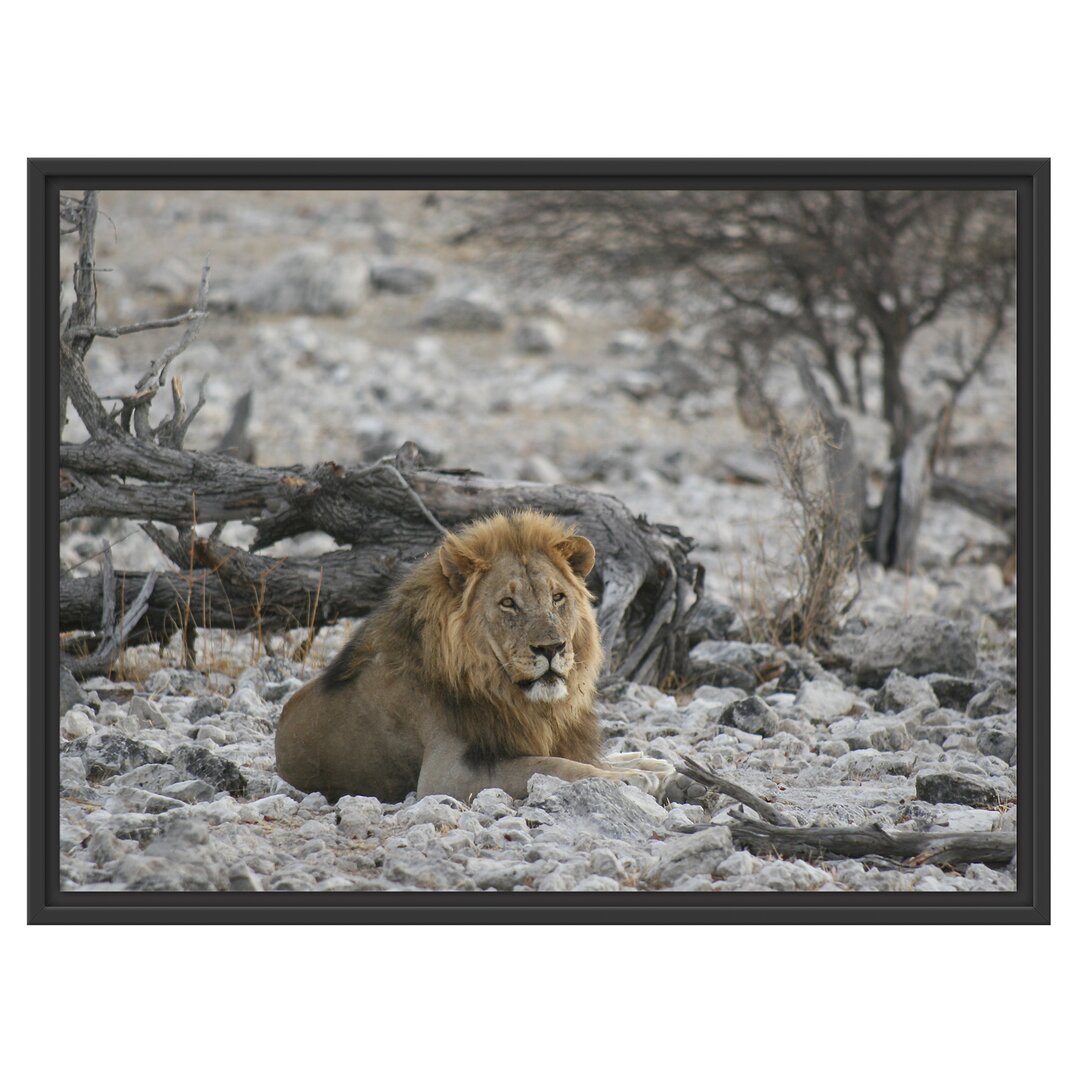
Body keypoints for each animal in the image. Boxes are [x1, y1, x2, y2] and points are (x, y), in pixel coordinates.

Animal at [274, 511, 669, 803]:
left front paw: (645, 768)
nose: (551, 648)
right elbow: (552, 765)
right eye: (508, 603)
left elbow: (568, 757)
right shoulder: (445, 775)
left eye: (558, 597)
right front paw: (633, 779)